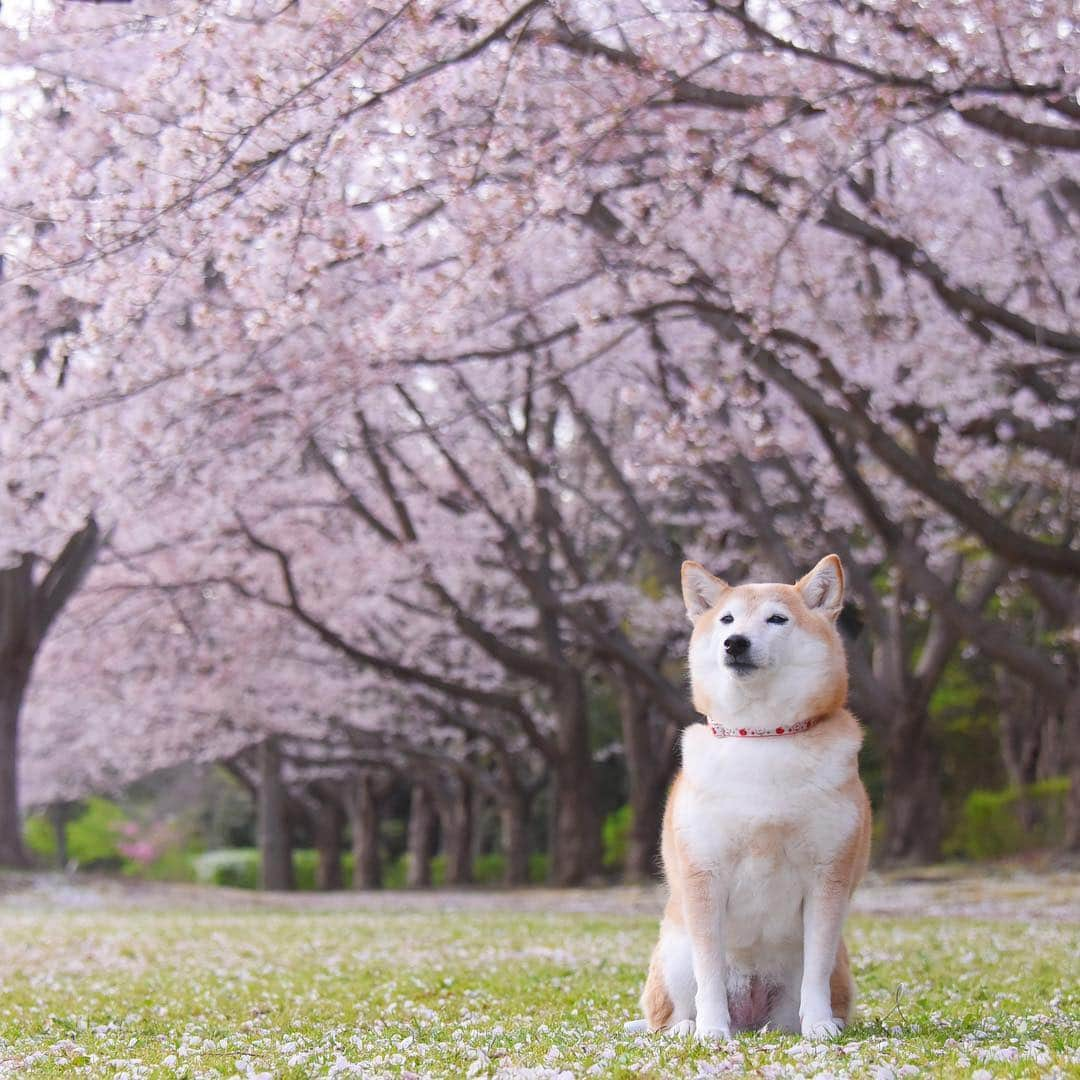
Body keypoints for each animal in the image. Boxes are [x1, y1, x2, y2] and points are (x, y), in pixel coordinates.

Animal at [630, 552, 872, 1041]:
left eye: (776, 619)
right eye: (726, 619)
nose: (734, 643)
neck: (763, 735)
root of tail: (752, 1015)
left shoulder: (828, 877)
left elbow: (815, 971)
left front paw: (820, 1026)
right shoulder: (704, 876)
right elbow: (708, 971)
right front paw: (711, 1031)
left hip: (832, 965)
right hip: (674, 950)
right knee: (667, 1013)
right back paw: (688, 1028)